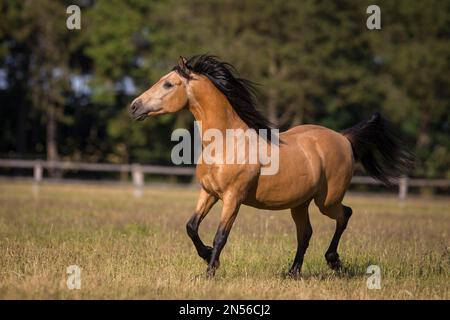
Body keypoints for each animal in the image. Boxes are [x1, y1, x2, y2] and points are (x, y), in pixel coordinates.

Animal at [128, 55, 414, 278]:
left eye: (168, 84)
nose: (134, 107)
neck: (227, 142)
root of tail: (343, 138)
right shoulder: (209, 193)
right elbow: (191, 227)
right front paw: (207, 255)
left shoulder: (233, 198)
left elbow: (221, 235)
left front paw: (209, 270)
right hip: (300, 203)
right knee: (305, 233)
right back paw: (293, 272)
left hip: (326, 201)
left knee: (345, 214)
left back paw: (333, 261)